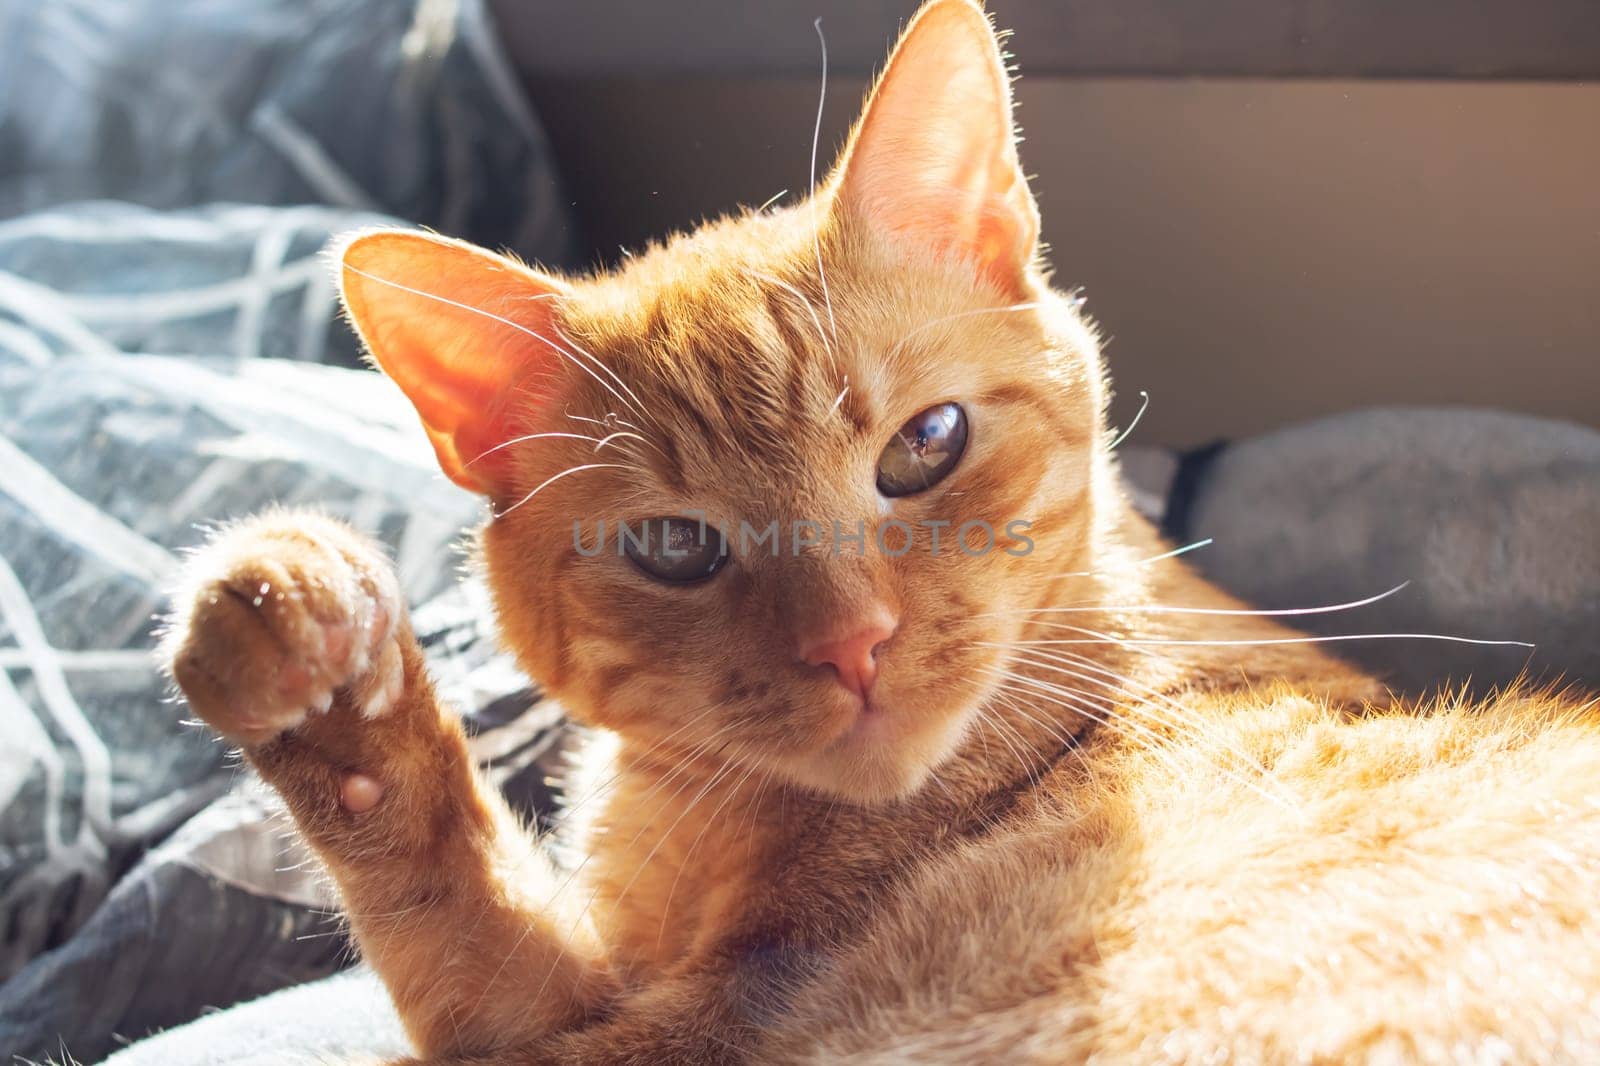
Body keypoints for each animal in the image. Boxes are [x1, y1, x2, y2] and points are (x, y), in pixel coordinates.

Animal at [162, 4, 1600, 1056]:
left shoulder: (669, 1027)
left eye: (925, 446)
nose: (852, 645)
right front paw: (321, 670)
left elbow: (457, 931)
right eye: (675, 549)